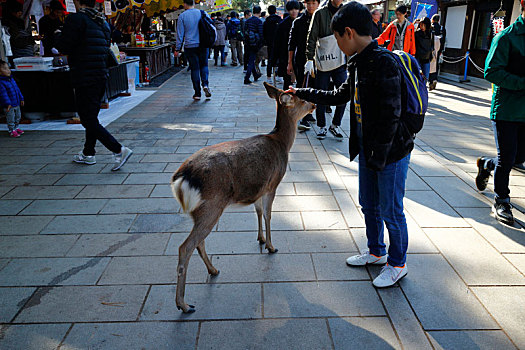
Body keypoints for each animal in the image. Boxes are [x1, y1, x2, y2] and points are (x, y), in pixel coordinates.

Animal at [170, 82, 314, 314]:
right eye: (301, 99)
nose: (315, 104)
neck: (282, 143)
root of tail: (181, 177)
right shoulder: (273, 183)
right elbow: (268, 215)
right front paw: (271, 246)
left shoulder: (259, 188)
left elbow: (258, 211)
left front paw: (261, 239)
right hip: (212, 206)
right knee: (186, 246)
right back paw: (184, 304)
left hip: (200, 211)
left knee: (198, 242)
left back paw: (213, 270)